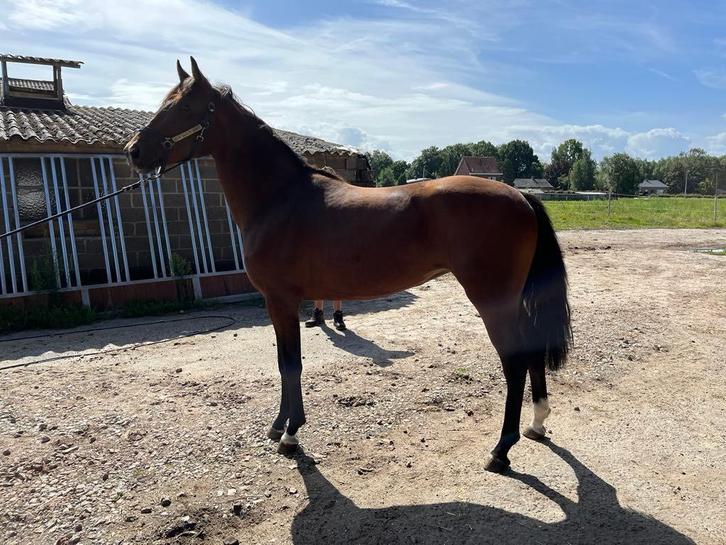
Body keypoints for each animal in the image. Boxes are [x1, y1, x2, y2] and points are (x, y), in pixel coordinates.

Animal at [125, 58, 572, 473]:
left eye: (184, 107)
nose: (134, 150)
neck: (280, 198)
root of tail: (519, 196)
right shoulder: (279, 303)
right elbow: (283, 363)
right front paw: (278, 425)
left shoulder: (281, 300)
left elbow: (292, 364)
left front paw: (290, 435)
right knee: (530, 352)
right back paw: (537, 424)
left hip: (492, 300)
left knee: (514, 362)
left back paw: (501, 451)